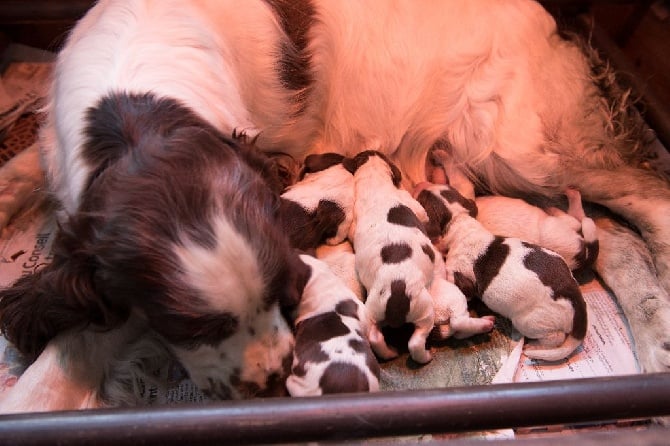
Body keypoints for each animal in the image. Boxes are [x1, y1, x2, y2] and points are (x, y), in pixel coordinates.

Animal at [344, 152, 438, 364]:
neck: (374, 183)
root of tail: (395, 293)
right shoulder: (412, 204)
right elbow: (423, 214)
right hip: (424, 308)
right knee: (416, 342)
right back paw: (426, 355)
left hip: (372, 311)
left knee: (374, 337)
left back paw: (390, 352)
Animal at [418, 183, 592, 360]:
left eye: (422, 199)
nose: (422, 186)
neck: (462, 224)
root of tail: (576, 300)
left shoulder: (459, 276)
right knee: (575, 222)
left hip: (529, 321)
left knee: (555, 338)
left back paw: (534, 346)